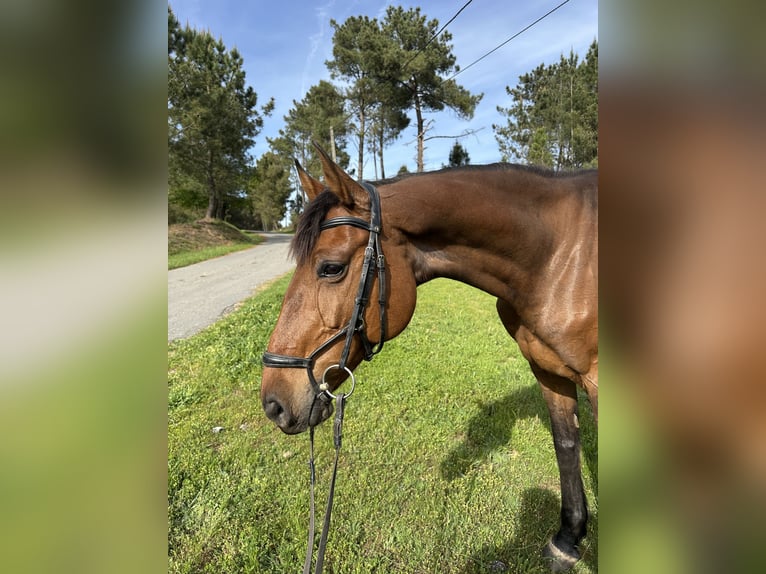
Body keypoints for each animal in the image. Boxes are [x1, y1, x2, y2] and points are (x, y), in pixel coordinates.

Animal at [261, 145, 598, 571]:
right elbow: (566, 445)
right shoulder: (548, 370)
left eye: (331, 268)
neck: (556, 258)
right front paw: (568, 538)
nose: (273, 403)